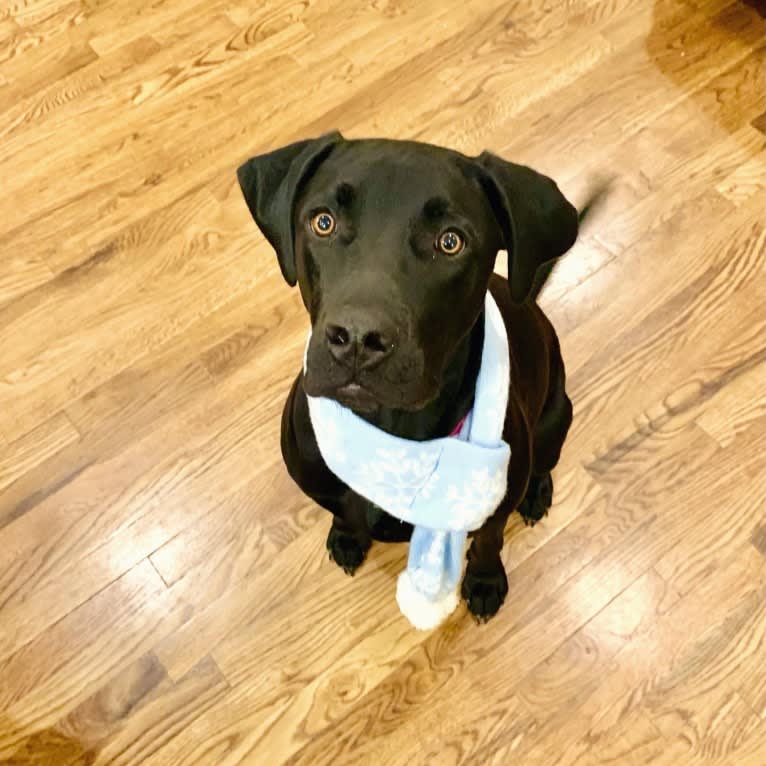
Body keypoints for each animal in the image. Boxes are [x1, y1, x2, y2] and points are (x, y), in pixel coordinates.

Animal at [237, 134, 604, 632]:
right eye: (323, 222)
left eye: (450, 241)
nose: (357, 339)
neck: (392, 439)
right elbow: (344, 509)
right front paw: (347, 535)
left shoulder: (493, 505)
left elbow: (489, 539)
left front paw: (484, 581)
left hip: (555, 415)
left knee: (544, 460)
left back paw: (536, 493)